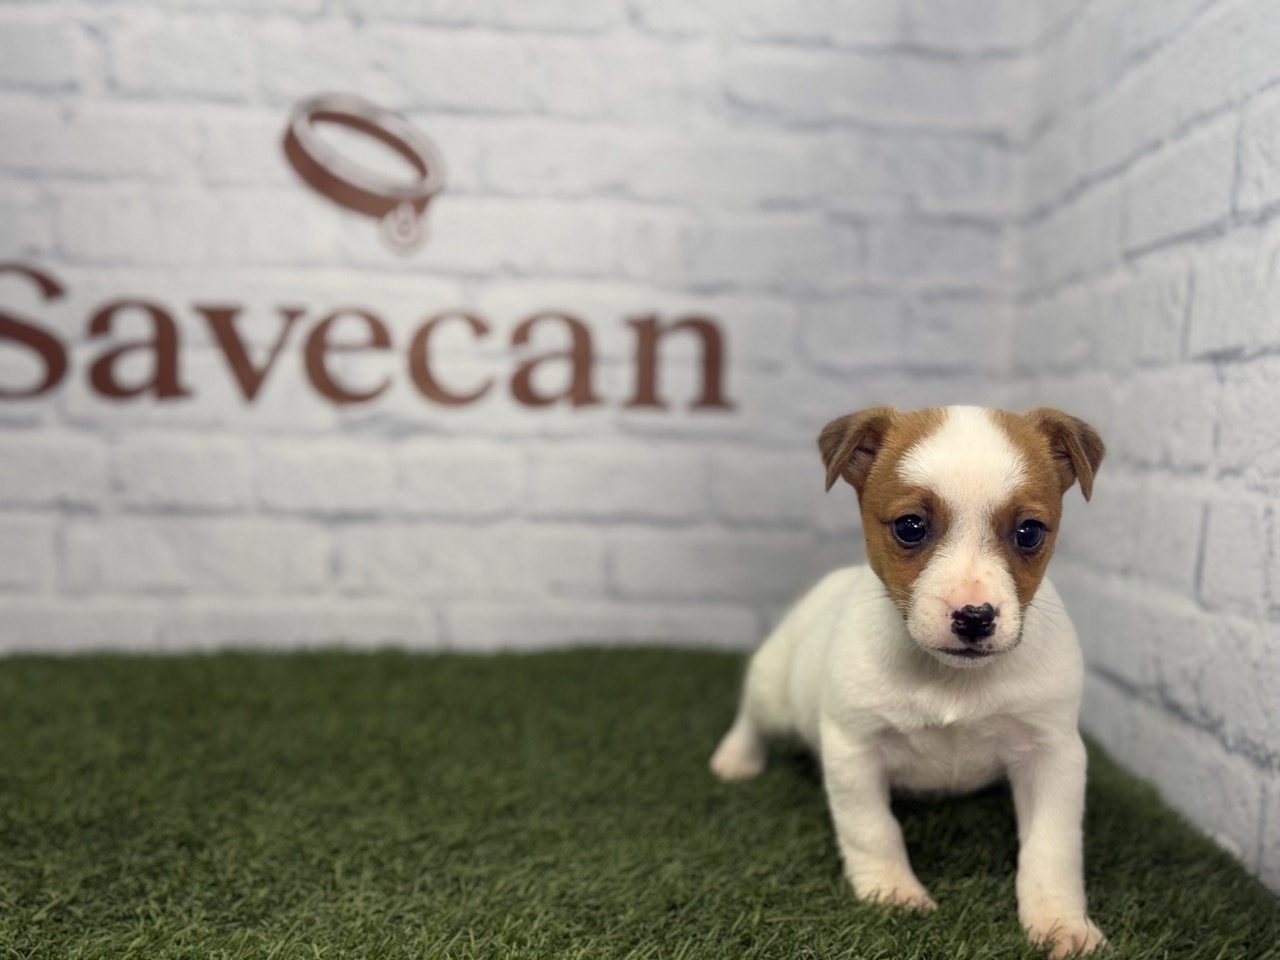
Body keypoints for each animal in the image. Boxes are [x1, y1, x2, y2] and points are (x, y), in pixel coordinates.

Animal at [710, 405, 1107, 958]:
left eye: (1030, 532)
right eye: (910, 527)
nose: (975, 617)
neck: (951, 678)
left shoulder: (1053, 754)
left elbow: (1052, 847)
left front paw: (1059, 921)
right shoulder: (854, 749)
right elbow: (873, 829)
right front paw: (892, 892)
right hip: (774, 690)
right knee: (752, 716)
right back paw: (737, 759)